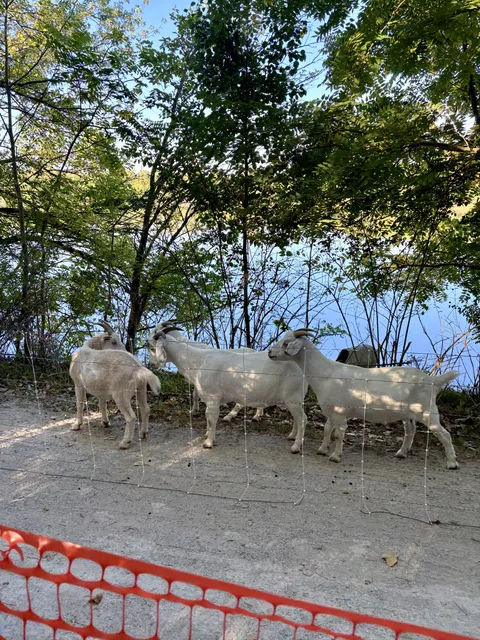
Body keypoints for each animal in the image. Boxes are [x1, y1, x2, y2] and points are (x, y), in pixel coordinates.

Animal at [148, 327, 307, 451]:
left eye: (151, 347)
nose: (152, 364)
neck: (199, 360)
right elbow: (208, 418)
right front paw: (207, 436)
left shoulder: (213, 397)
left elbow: (212, 419)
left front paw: (208, 443)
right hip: (294, 399)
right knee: (297, 418)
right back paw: (292, 436)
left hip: (293, 397)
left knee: (302, 419)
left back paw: (296, 446)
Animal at [268, 329, 459, 469]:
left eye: (286, 343)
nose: (270, 352)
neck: (326, 373)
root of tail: (432, 380)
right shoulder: (331, 411)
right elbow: (327, 429)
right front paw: (322, 450)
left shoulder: (340, 412)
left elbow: (338, 434)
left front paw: (335, 456)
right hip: (409, 414)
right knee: (410, 431)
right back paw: (402, 453)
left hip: (428, 411)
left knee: (444, 434)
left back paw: (452, 463)